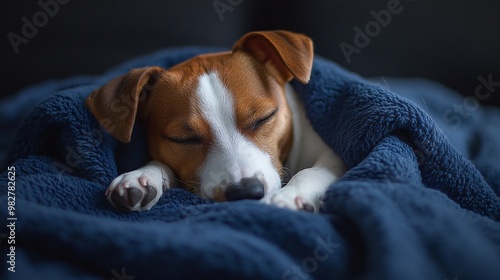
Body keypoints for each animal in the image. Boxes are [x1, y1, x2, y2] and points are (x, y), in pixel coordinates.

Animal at [86, 30, 348, 212]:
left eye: (264, 118)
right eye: (183, 139)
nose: (245, 191)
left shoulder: (335, 156)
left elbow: (314, 171)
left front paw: (289, 196)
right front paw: (141, 176)